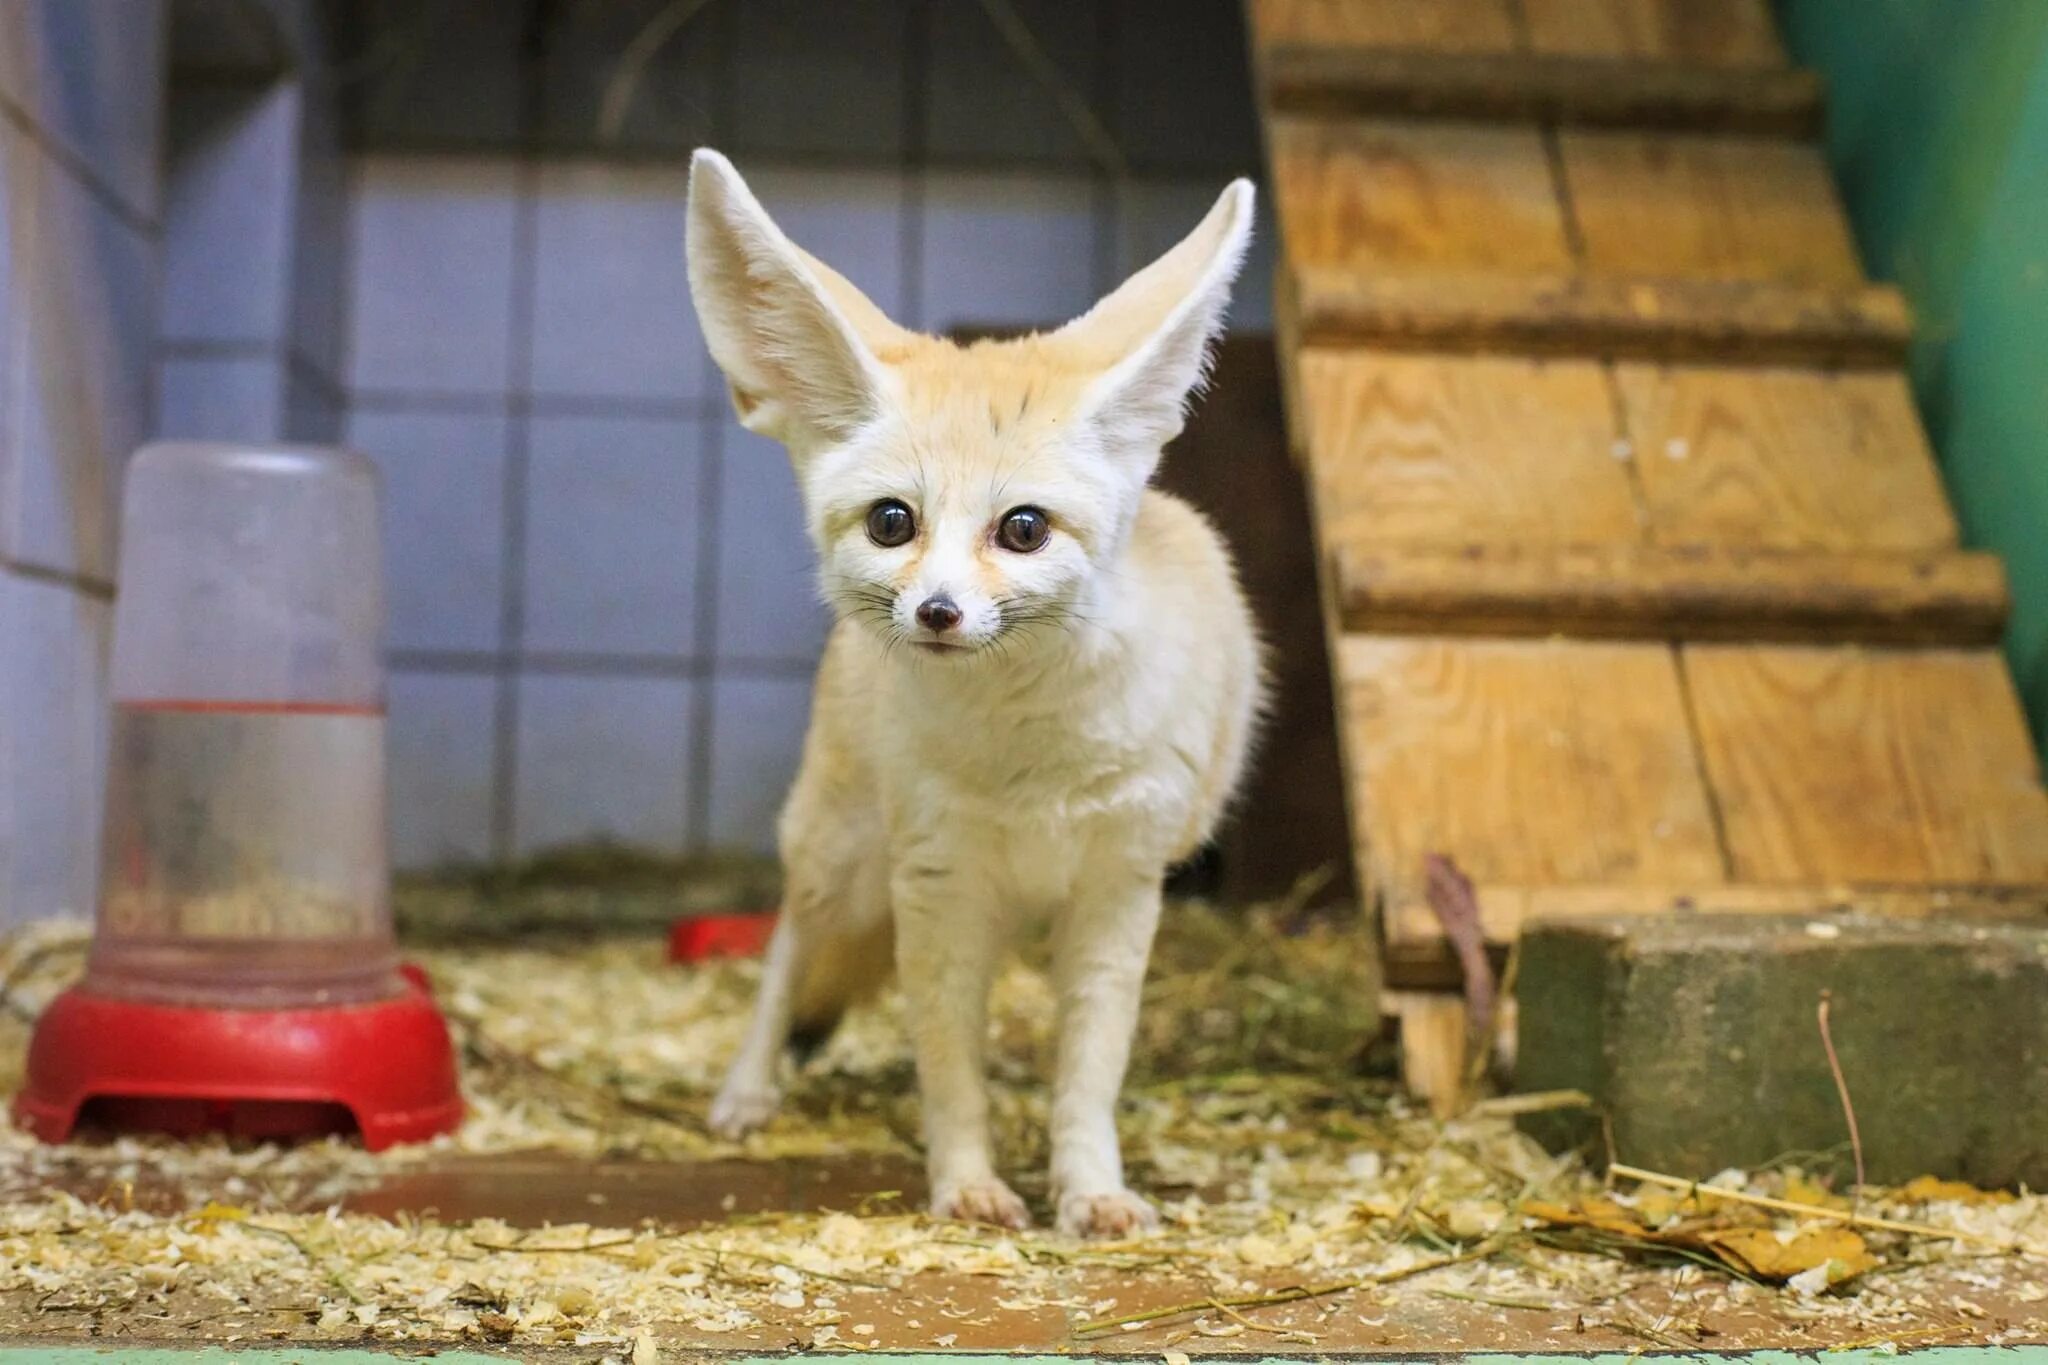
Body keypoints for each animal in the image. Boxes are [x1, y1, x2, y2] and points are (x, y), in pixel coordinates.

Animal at [688, 152, 1261, 1252]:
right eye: (892, 522)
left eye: (1022, 529)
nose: (939, 612)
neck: (1027, 755)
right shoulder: (938, 883)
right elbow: (949, 1067)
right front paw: (967, 1184)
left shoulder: (1119, 889)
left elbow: (1088, 1074)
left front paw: (1090, 1186)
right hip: (840, 855)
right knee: (787, 948)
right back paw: (744, 1089)